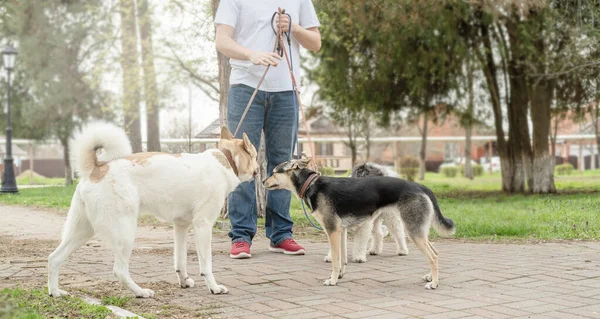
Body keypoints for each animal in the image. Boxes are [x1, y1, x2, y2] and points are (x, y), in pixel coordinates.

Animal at [47, 122, 258, 298]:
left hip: (81, 232)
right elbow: (206, 265)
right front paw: (214, 287)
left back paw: (55, 292)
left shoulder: (181, 226)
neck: (226, 159)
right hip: (125, 233)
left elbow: (180, 261)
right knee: (119, 270)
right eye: (255, 156)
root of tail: (97, 169)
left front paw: (184, 281)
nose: (258, 170)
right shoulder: (203, 225)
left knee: (54, 258)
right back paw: (140, 292)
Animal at [262, 158, 454, 290]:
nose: (263, 181)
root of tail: (420, 187)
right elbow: (341, 259)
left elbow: (335, 260)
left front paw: (332, 280)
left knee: (433, 256)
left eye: (274, 172)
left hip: (413, 230)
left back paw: (434, 283)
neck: (312, 185)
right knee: (435, 253)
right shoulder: (340, 232)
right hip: (418, 230)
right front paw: (340, 275)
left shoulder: (332, 231)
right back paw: (430, 277)